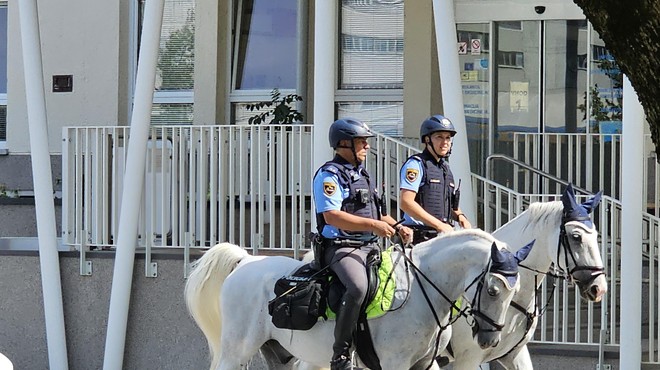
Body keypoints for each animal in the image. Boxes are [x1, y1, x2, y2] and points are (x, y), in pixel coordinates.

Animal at [186, 228, 532, 370]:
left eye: (515, 292)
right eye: (493, 290)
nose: (490, 340)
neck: (422, 290)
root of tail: (246, 260)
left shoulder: (424, 364)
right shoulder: (395, 364)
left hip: (279, 354)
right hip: (236, 352)